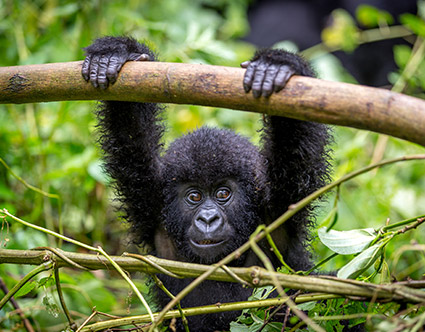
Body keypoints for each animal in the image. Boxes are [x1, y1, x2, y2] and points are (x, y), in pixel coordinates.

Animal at [81, 35, 330, 330]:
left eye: (223, 193)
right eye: (194, 196)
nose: (208, 219)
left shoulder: (280, 207)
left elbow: (295, 145)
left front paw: (278, 65)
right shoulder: (151, 201)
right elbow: (130, 134)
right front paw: (115, 54)